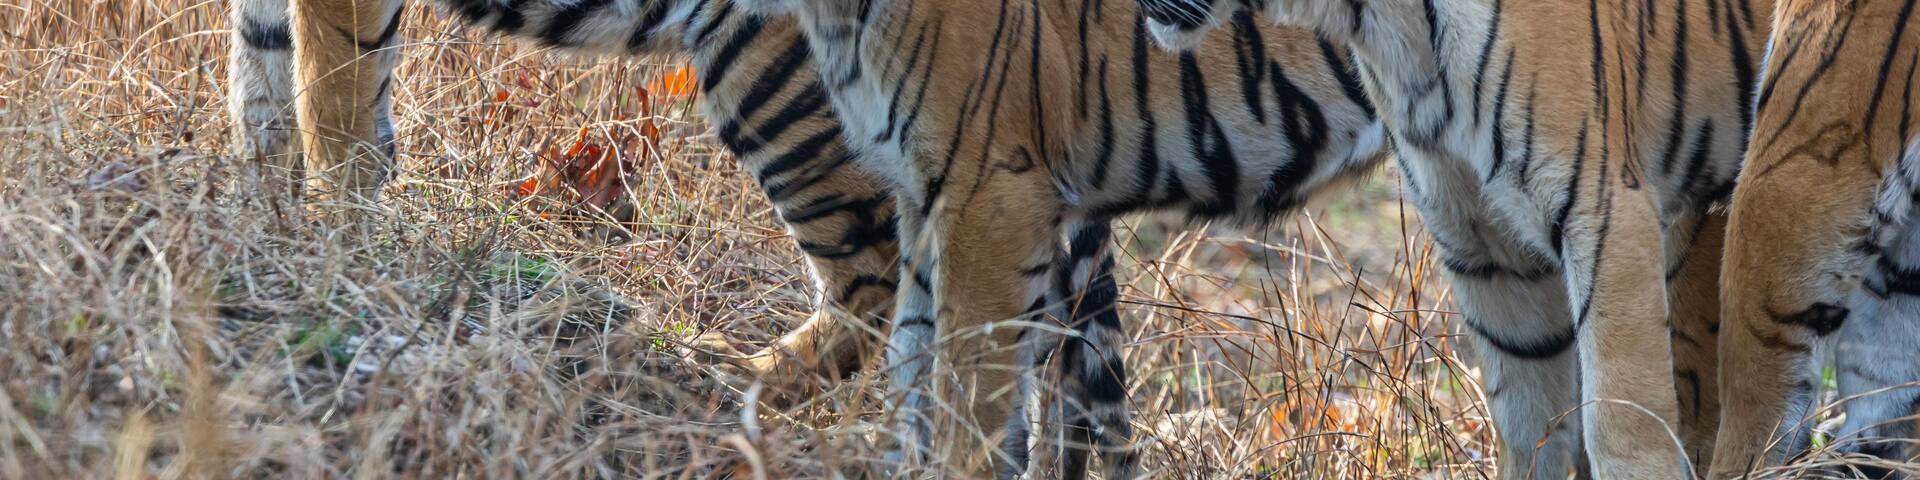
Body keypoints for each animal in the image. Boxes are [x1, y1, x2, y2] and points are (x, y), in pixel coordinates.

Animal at [226, 0, 1132, 411]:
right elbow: (264, 85)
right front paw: (256, 216)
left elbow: (331, 101)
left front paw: (336, 253)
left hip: (775, 74)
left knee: (876, 263)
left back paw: (734, 375)